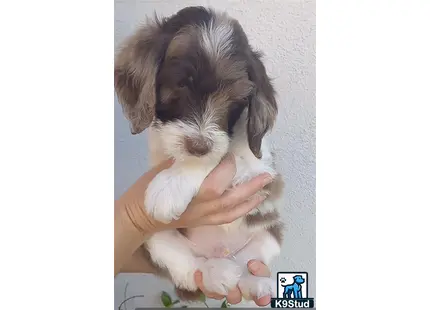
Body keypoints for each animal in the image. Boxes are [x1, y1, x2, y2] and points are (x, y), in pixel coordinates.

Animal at [114, 6, 286, 302]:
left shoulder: (261, 169)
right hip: (155, 238)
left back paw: (256, 283)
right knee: (191, 269)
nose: (199, 145)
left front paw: (171, 185)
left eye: (235, 99)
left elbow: (224, 156)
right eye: (179, 87)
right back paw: (218, 273)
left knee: (249, 264)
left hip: (269, 233)